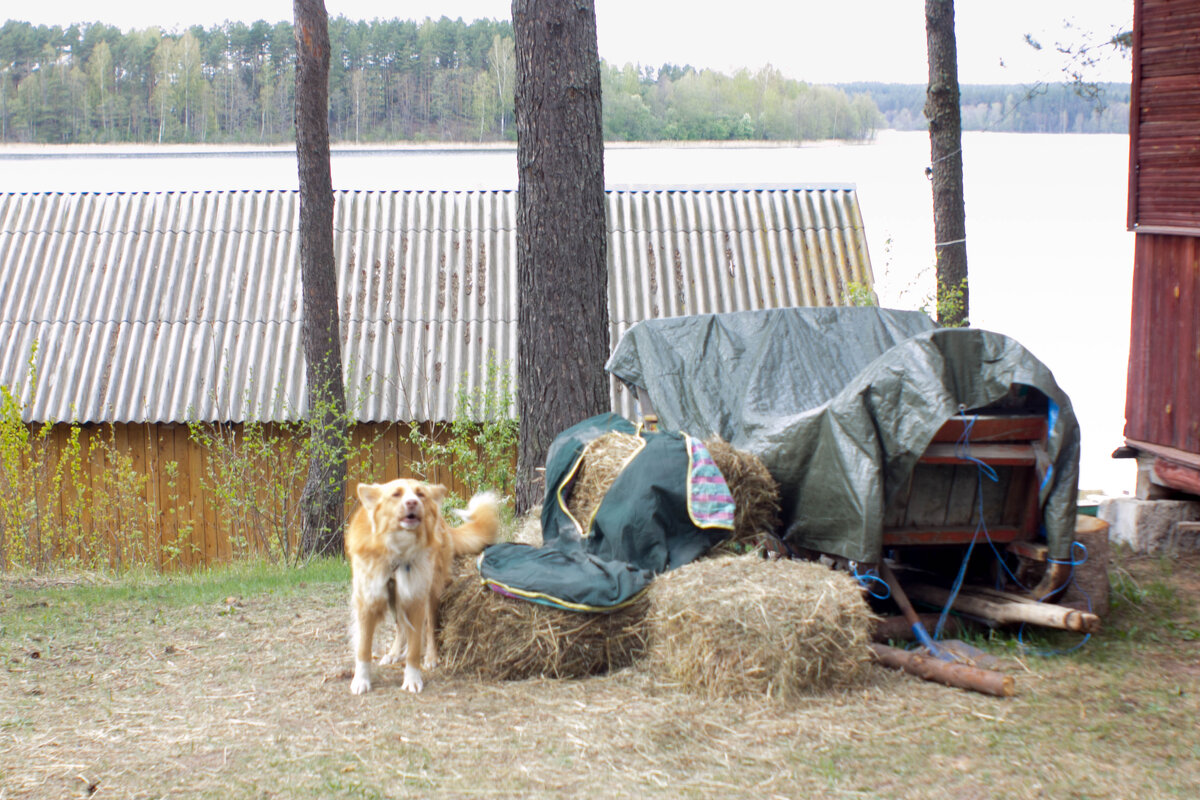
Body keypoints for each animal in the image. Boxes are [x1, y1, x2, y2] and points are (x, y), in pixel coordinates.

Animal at [345, 482, 499, 695]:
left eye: (420, 494)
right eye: (396, 494)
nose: (412, 502)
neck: (397, 553)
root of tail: (443, 522)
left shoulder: (415, 601)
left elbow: (415, 648)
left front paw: (412, 679)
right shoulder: (367, 603)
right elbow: (363, 648)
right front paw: (361, 680)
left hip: (430, 593)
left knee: (431, 627)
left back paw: (431, 658)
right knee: (400, 627)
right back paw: (393, 653)